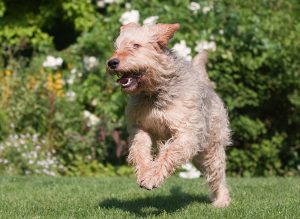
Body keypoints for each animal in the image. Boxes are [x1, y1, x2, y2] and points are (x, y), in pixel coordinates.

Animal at [106, 23, 231, 208]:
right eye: (117, 47)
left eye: (136, 45)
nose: (112, 62)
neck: (155, 93)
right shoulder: (140, 128)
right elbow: (139, 150)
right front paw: (144, 171)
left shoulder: (187, 132)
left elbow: (169, 153)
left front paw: (151, 178)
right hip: (199, 157)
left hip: (212, 147)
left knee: (217, 174)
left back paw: (221, 201)